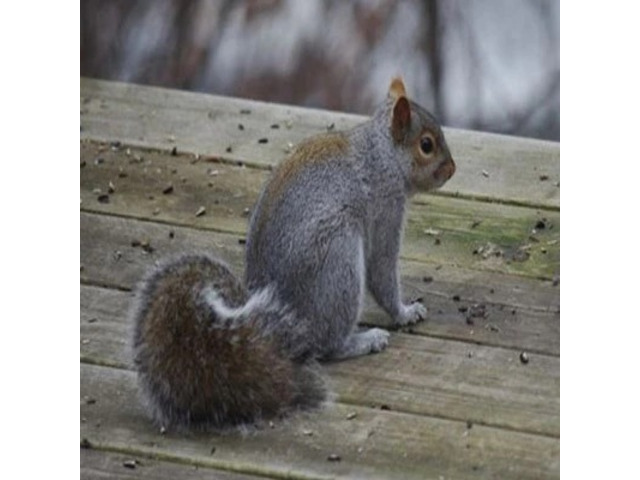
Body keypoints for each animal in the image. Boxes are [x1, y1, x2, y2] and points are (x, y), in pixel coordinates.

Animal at [131, 77, 456, 432]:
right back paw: (365, 341)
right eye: (426, 145)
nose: (452, 169)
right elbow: (382, 272)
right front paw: (406, 312)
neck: (382, 155)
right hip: (338, 263)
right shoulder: (387, 208)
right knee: (327, 345)